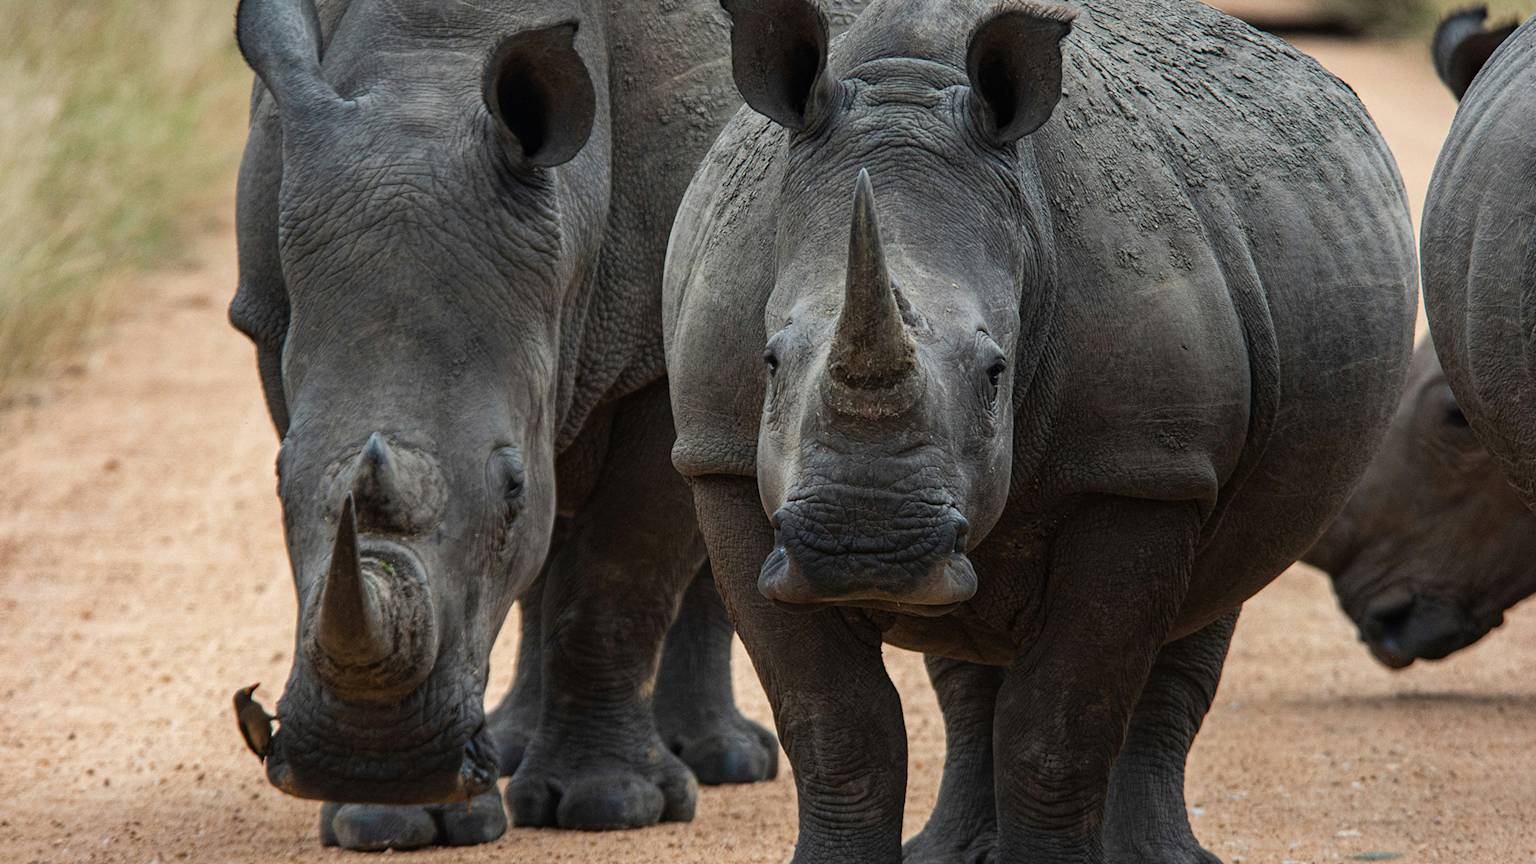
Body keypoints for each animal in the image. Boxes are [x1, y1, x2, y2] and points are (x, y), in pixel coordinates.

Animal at [230, 0, 787, 849]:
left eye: (512, 490)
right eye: (277, 484)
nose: (371, 762)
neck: (431, 69)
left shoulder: (659, 355)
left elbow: (618, 575)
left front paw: (611, 807)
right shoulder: (269, 317)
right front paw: (388, 822)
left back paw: (721, 762)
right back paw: (518, 748)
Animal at [664, 0, 1415, 860]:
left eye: (997, 372)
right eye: (770, 360)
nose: (864, 549)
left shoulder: (1140, 470)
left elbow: (1058, 730)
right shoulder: (720, 460)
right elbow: (836, 727)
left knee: (1214, 587)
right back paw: (953, 852)